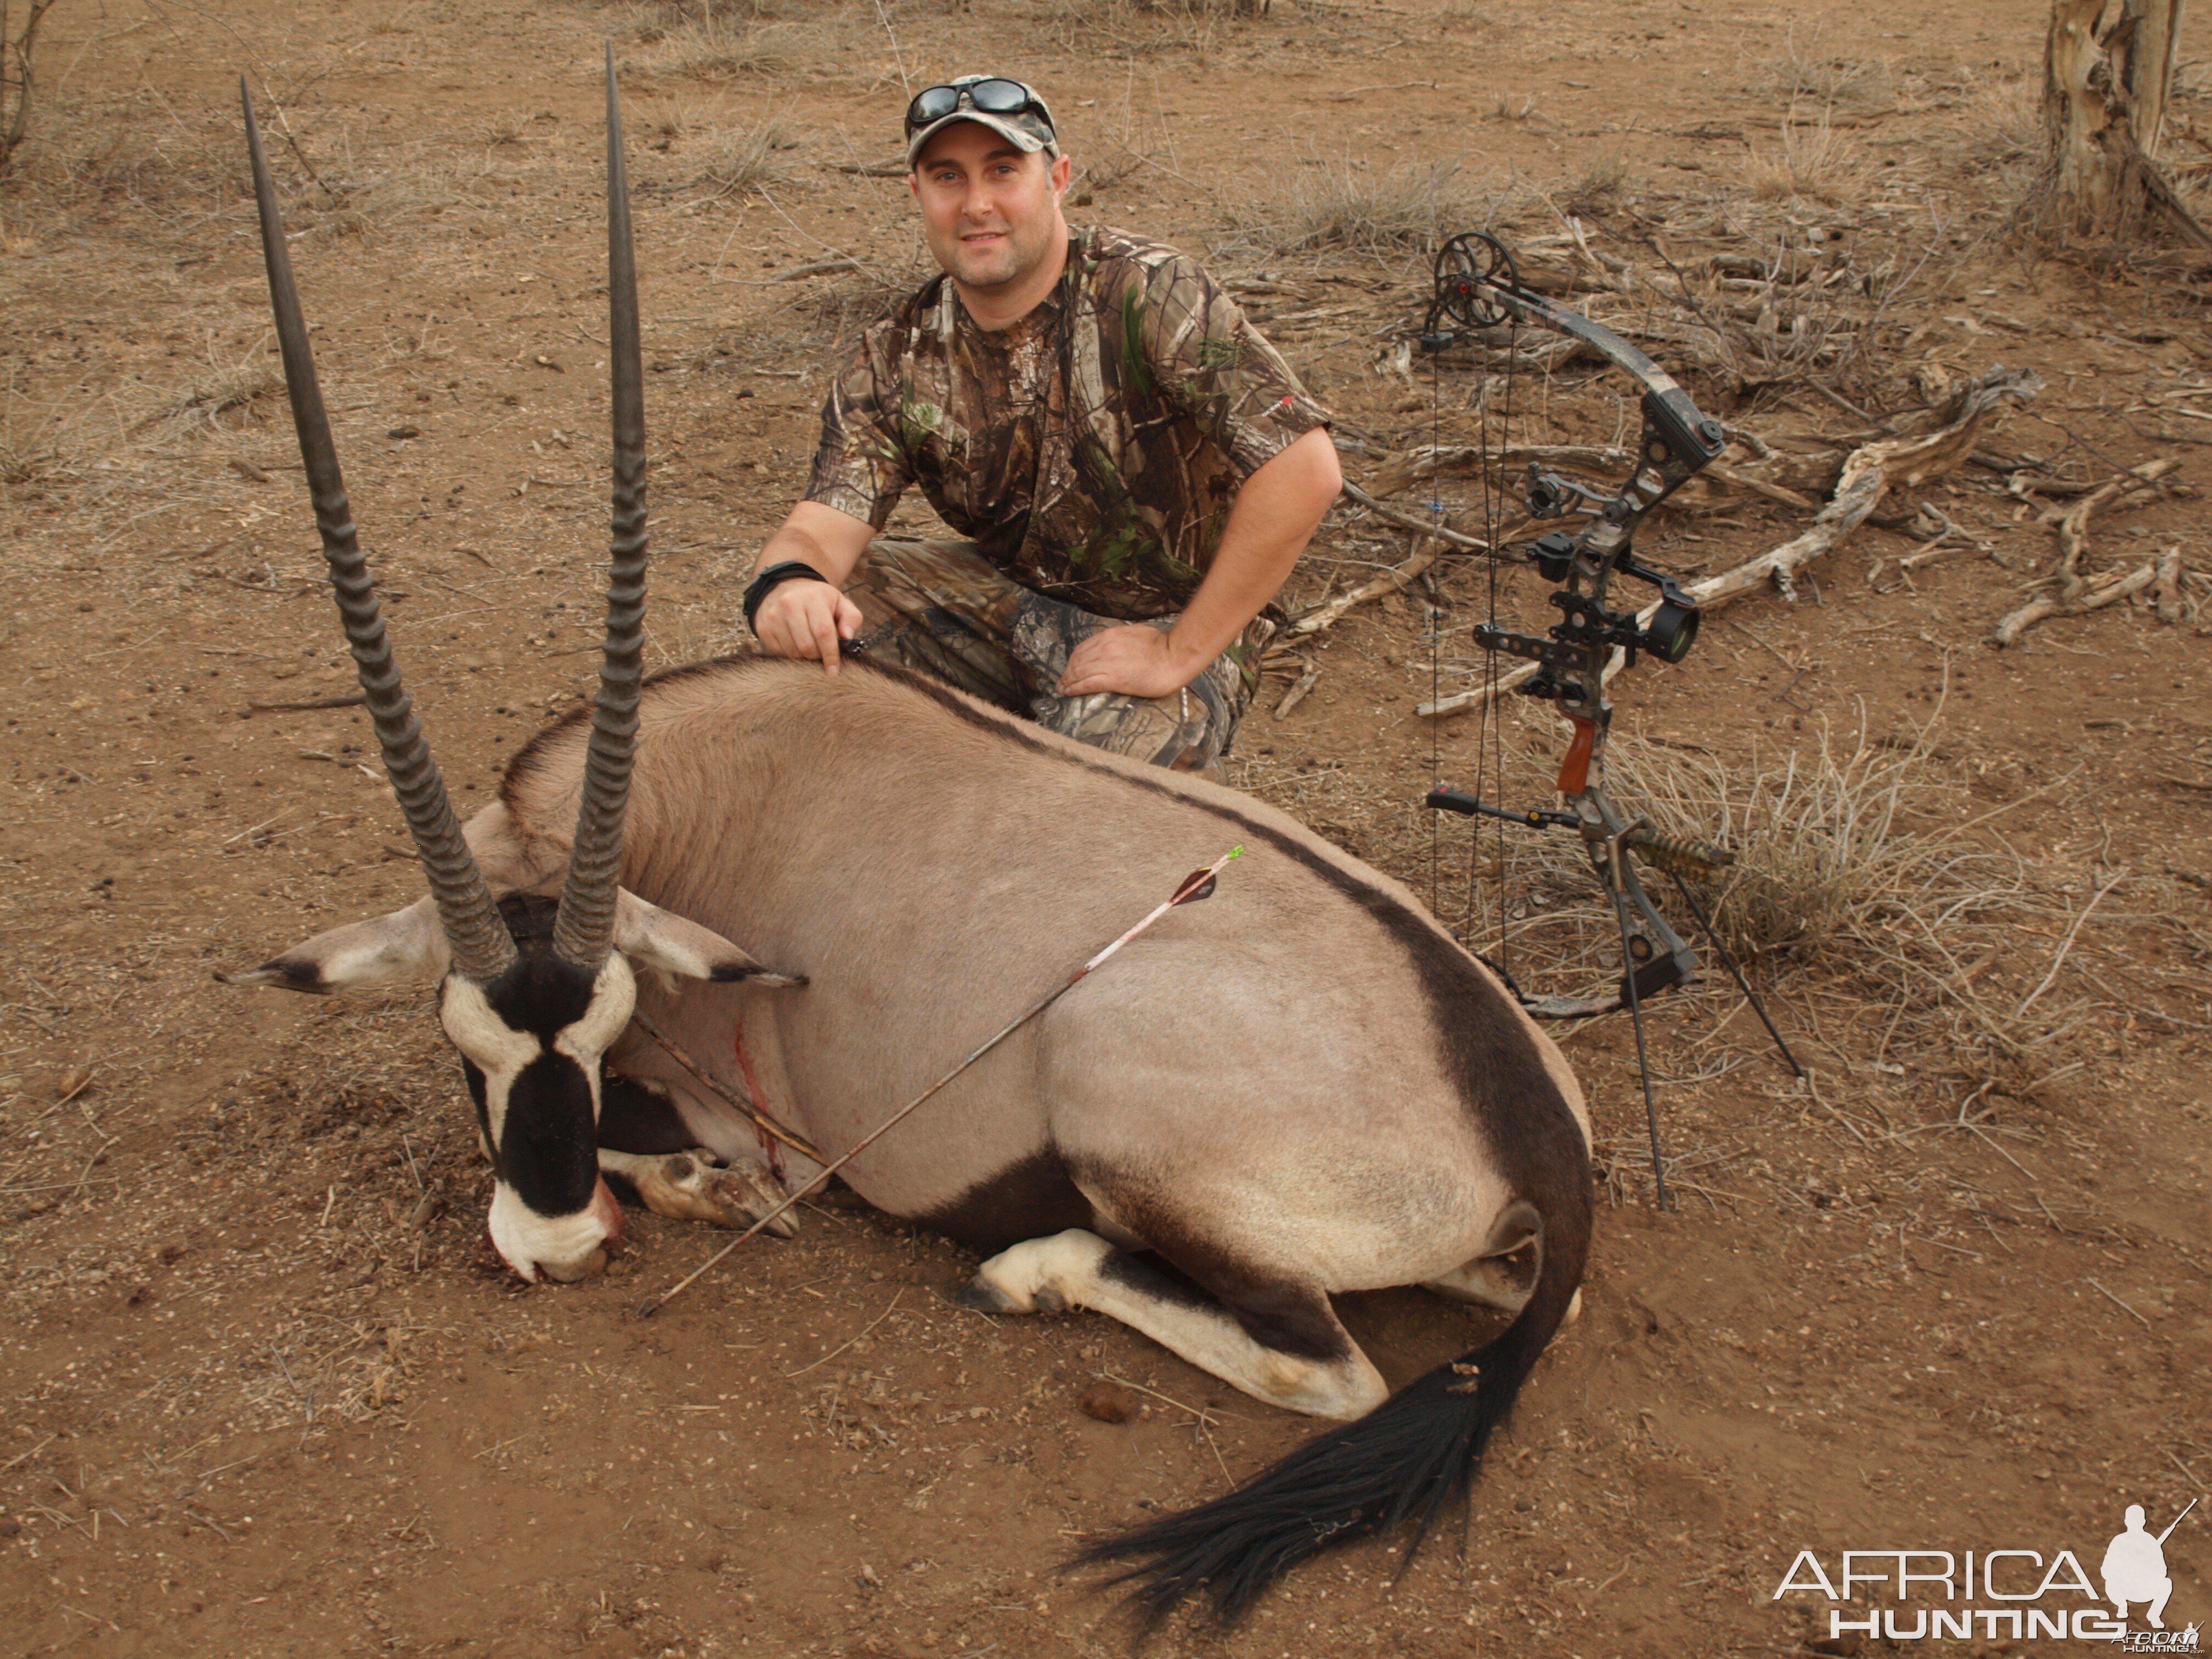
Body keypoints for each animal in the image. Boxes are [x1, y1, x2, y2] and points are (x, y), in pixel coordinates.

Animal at [224, 55, 1593, 1637]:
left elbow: (687, 1157)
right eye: (467, 1042)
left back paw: (1030, 1271)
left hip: (1130, 1111)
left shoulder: (748, 1119)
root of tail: (1528, 1120)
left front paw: (695, 1193)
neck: (707, 806)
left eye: (610, 1025)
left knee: (1327, 1364)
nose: (558, 1248)